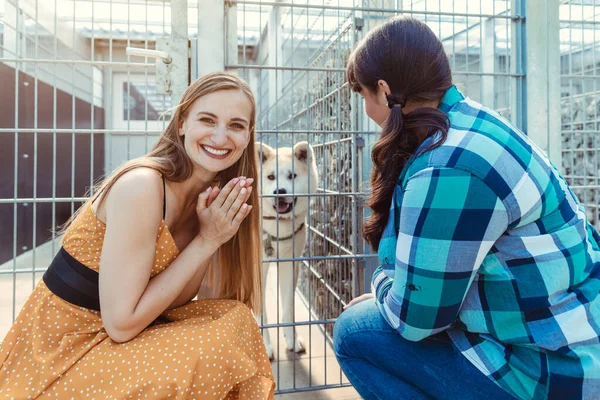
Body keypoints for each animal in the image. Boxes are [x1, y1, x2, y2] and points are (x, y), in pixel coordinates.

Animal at [254, 141, 318, 360]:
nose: (279, 191)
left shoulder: (290, 263)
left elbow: (288, 308)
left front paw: (292, 338)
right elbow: (260, 312)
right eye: (270, 177)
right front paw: (264, 345)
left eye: (292, 176)